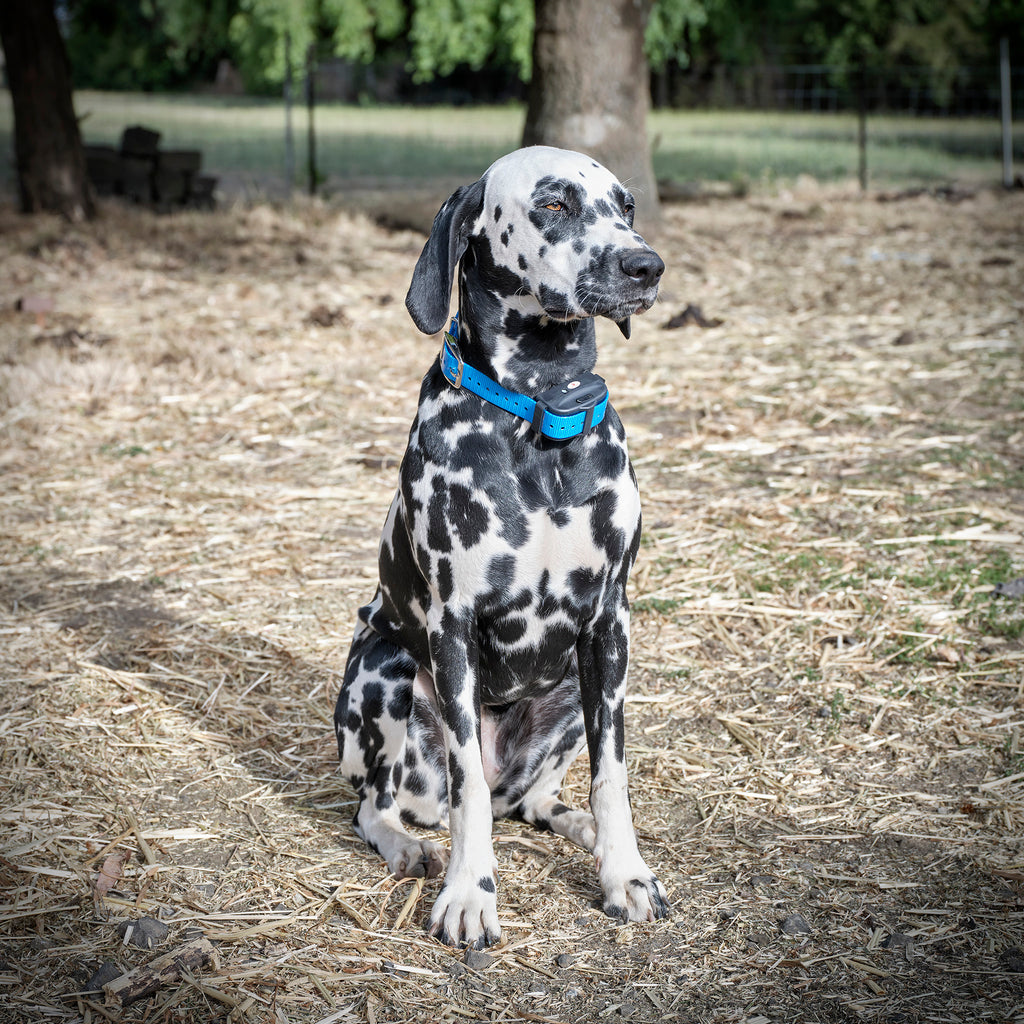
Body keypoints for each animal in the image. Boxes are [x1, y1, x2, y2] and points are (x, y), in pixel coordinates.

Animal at [333, 146, 671, 950]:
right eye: (553, 204)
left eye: (627, 205)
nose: (646, 265)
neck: (542, 417)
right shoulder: (451, 627)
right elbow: (469, 791)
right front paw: (470, 893)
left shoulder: (609, 626)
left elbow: (612, 777)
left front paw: (625, 872)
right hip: (383, 670)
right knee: (382, 805)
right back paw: (410, 845)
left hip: (573, 694)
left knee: (534, 800)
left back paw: (578, 828)